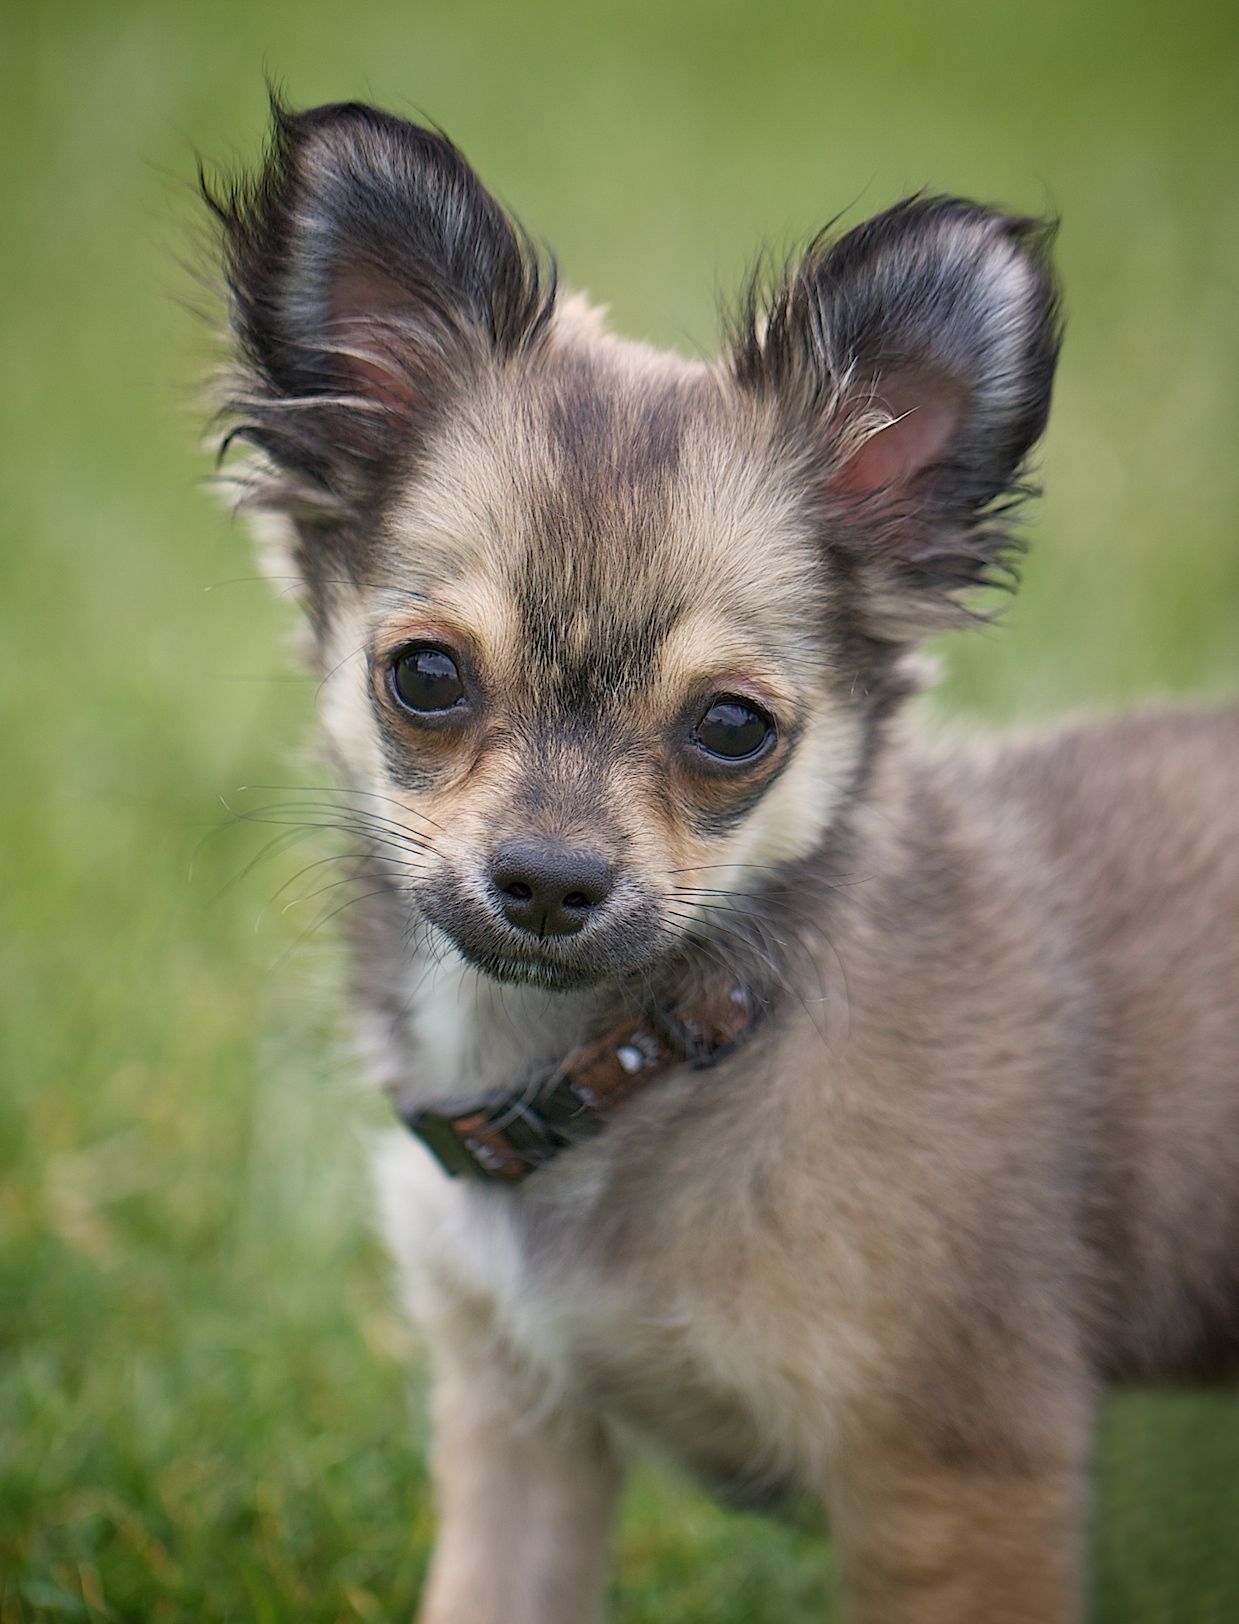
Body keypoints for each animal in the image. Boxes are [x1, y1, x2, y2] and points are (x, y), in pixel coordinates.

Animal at [207, 98, 1239, 1624]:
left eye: (730, 727)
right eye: (427, 676)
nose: (548, 881)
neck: (639, 1057)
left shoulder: (956, 1479)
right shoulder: (518, 1427)